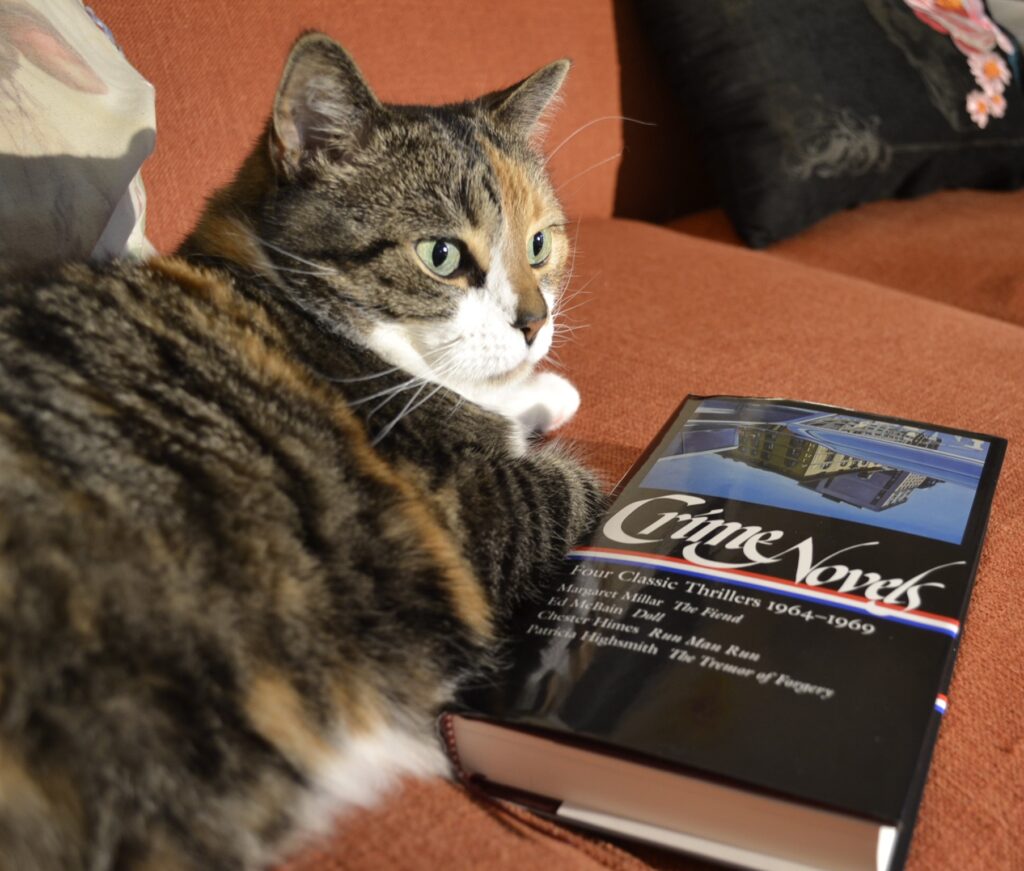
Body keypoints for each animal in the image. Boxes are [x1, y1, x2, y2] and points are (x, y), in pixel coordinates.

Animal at [0, 30, 602, 867]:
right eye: (442, 256)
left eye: (540, 243)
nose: (536, 321)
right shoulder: (461, 514)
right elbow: (569, 484)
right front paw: (534, 403)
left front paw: (539, 386)